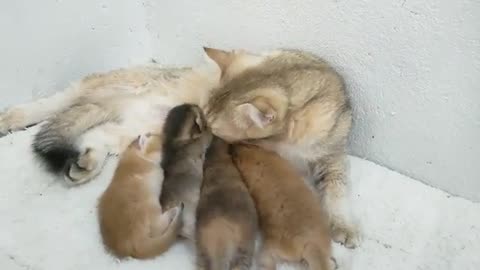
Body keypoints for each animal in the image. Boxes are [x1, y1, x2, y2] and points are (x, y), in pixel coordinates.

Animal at [0, 55, 220, 186]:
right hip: (113, 84)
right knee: (61, 99)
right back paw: (10, 118)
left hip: (144, 127)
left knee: (98, 133)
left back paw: (87, 164)